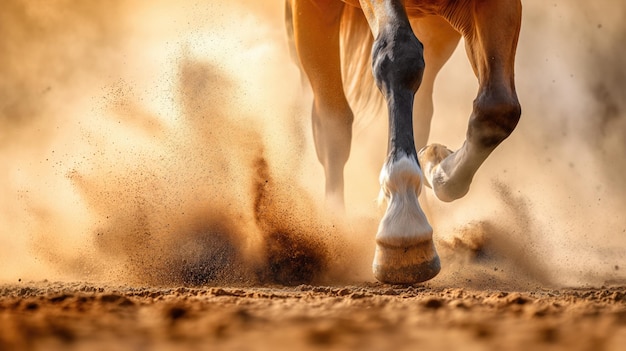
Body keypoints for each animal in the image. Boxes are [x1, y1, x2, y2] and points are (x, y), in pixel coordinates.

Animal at [286, 0, 520, 284]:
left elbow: (498, 109)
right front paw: (403, 226)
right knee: (332, 124)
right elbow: (398, 54)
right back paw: (334, 232)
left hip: (433, 26)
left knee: (420, 109)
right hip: (313, 13)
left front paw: (435, 163)